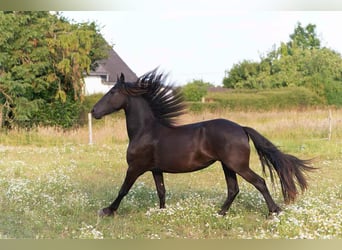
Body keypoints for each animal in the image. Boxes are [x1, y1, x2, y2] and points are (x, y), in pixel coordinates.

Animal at [91, 70, 316, 217]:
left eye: (112, 92)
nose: (93, 111)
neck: (145, 131)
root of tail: (241, 128)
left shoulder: (135, 167)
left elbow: (123, 189)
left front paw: (107, 211)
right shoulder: (156, 169)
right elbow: (161, 191)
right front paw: (162, 212)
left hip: (237, 165)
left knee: (259, 182)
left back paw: (273, 211)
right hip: (227, 166)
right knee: (233, 189)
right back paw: (220, 213)